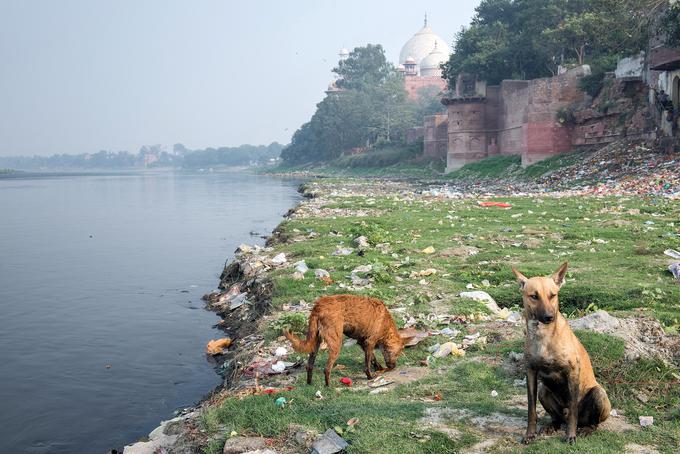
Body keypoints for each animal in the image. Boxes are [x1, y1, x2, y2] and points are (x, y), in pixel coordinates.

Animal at [516, 262, 612, 444]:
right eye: (534, 296)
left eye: (552, 295)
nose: (549, 317)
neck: (543, 335)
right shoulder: (531, 372)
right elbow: (531, 409)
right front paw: (529, 434)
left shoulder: (572, 372)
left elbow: (573, 410)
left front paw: (570, 435)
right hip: (544, 391)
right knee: (558, 418)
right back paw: (551, 425)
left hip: (598, 394)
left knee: (588, 421)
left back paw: (586, 429)